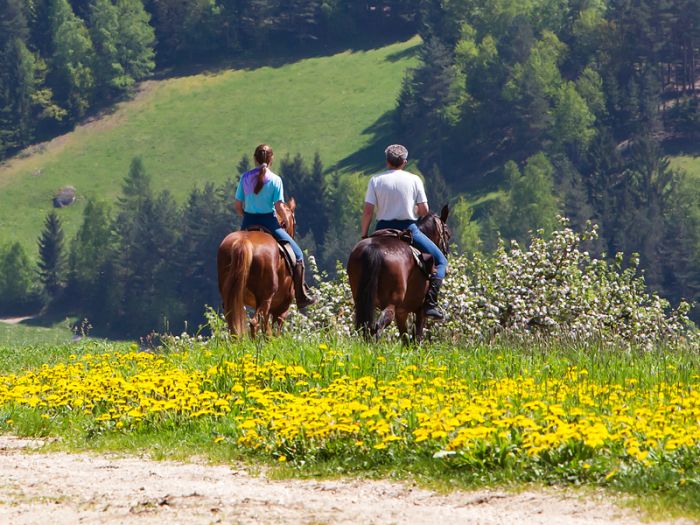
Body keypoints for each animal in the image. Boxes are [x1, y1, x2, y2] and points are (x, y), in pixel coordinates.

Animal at [217, 199, 296, 338]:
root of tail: (243, 242)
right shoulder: (282, 307)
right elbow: (276, 328)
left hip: (232, 297)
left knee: (234, 325)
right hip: (265, 298)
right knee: (256, 323)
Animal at [348, 207, 452, 342]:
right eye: (447, 234)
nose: (445, 253)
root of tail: (374, 247)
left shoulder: (402, 312)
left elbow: (405, 338)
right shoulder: (420, 311)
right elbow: (417, 338)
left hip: (362, 300)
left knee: (366, 326)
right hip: (391, 303)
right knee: (379, 324)